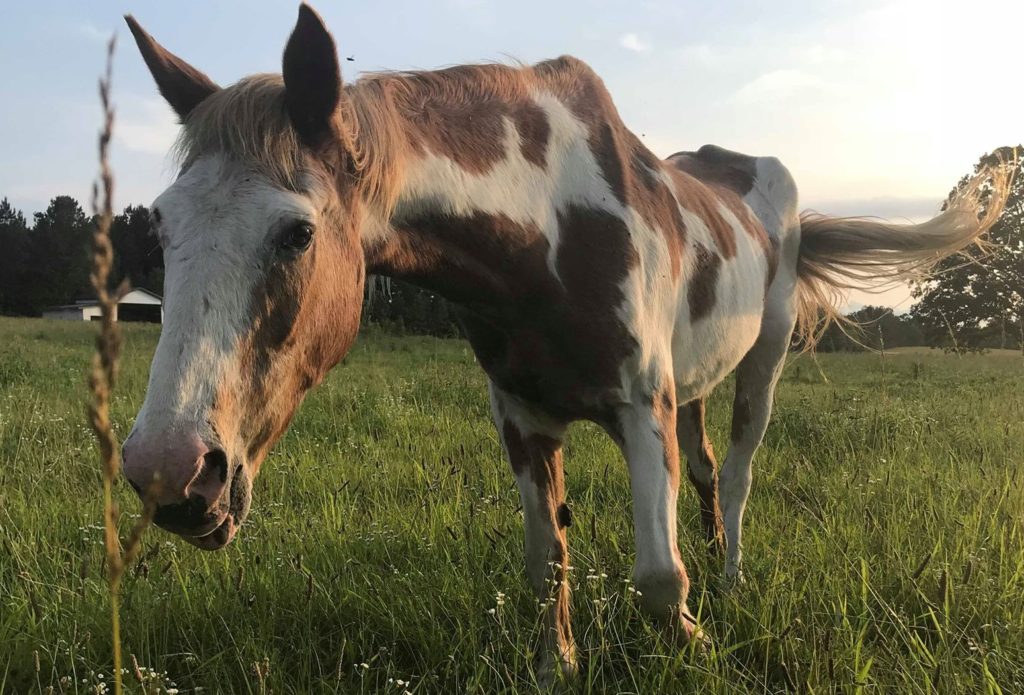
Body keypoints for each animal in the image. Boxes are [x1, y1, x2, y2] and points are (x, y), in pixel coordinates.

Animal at [120, 4, 1008, 681]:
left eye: (297, 232)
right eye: (160, 227)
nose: (172, 473)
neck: (546, 230)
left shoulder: (642, 408)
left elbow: (658, 575)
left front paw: (696, 645)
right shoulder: (524, 420)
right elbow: (548, 561)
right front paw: (561, 665)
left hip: (764, 363)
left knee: (740, 473)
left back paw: (730, 579)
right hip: (694, 385)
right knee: (709, 471)